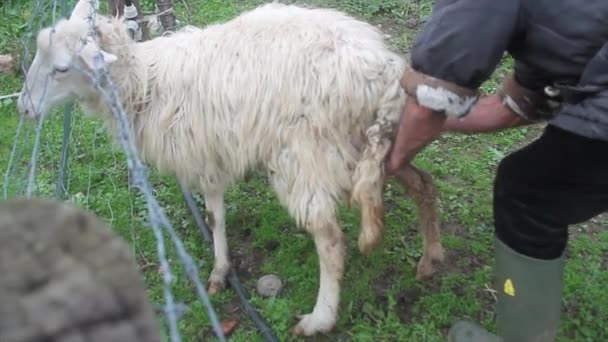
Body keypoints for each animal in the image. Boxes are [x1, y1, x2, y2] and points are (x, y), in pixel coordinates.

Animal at [17, 0, 446, 336]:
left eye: (61, 69)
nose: (23, 108)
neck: (142, 83)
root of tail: (384, 70)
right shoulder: (211, 150)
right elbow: (216, 214)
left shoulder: (203, 153)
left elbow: (214, 216)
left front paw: (219, 271)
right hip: (374, 144)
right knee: (424, 184)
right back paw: (430, 259)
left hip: (304, 155)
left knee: (329, 239)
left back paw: (319, 318)